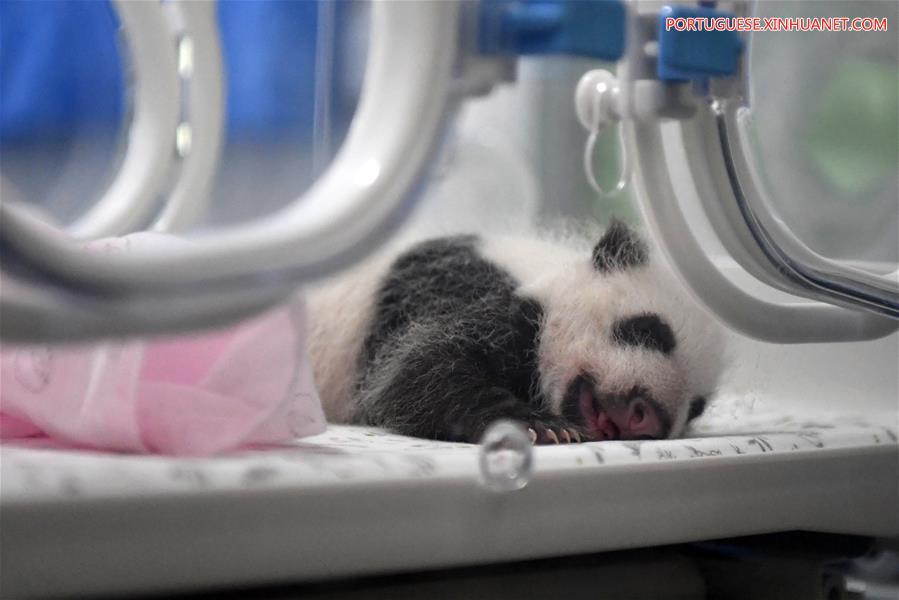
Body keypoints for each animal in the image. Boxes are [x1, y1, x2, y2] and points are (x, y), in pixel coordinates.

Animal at [307, 220, 726, 444]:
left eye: (696, 407)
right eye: (649, 331)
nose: (647, 416)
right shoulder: (448, 285)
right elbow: (416, 370)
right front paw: (539, 427)